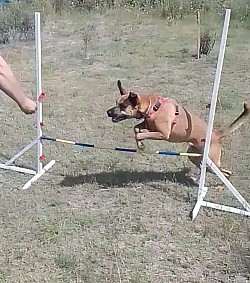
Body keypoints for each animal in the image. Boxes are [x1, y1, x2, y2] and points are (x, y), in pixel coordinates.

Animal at [107, 80, 250, 180]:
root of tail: (215, 134)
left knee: (226, 173)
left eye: (123, 106)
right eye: (116, 103)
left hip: (211, 161)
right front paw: (140, 143)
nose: (108, 112)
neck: (153, 106)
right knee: (219, 171)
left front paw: (141, 142)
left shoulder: (163, 134)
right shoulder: (148, 124)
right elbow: (136, 128)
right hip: (195, 157)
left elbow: (139, 134)